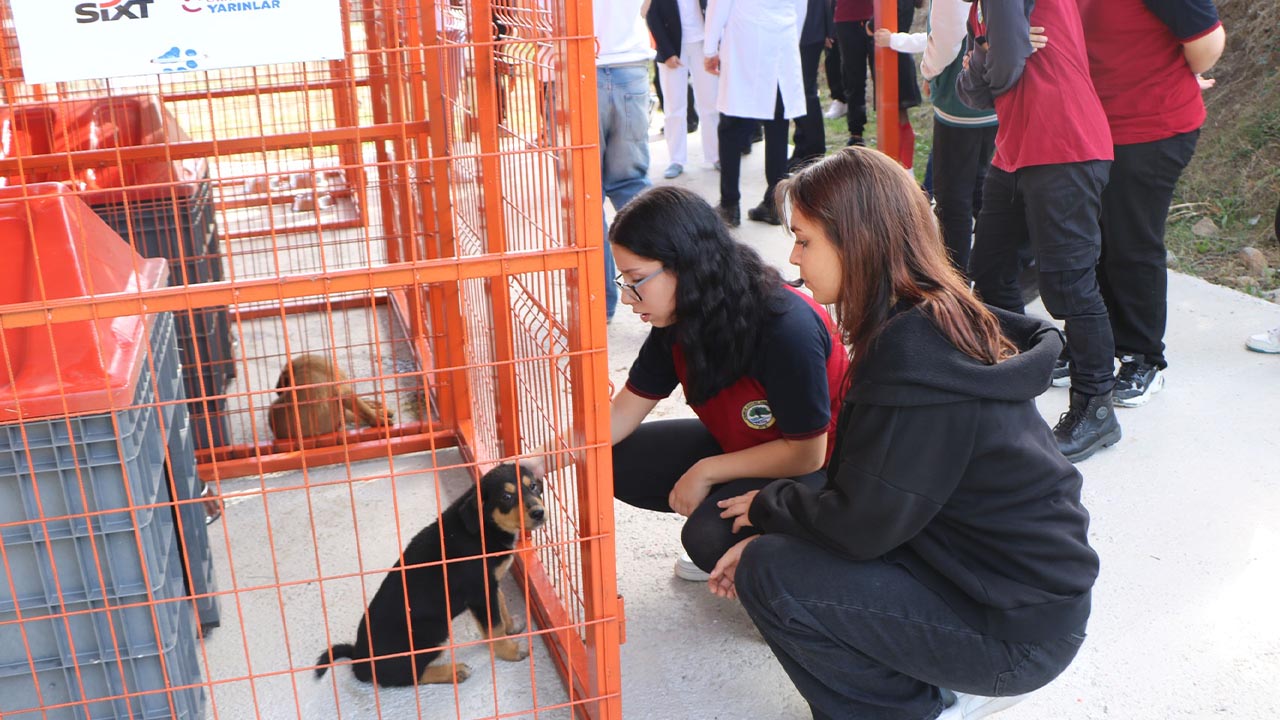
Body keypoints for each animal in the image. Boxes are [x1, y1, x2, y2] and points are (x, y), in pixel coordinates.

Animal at [317, 458, 547, 681]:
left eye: (533, 486)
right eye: (506, 497)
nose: (539, 513)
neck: (485, 527)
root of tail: (360, 660)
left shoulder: (491, 583)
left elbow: (501, 605)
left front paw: (511, 627)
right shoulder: (479, 591)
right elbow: (494, 627)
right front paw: (510, 651)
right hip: (434, 631)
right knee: (407, 675)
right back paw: (454, 671)